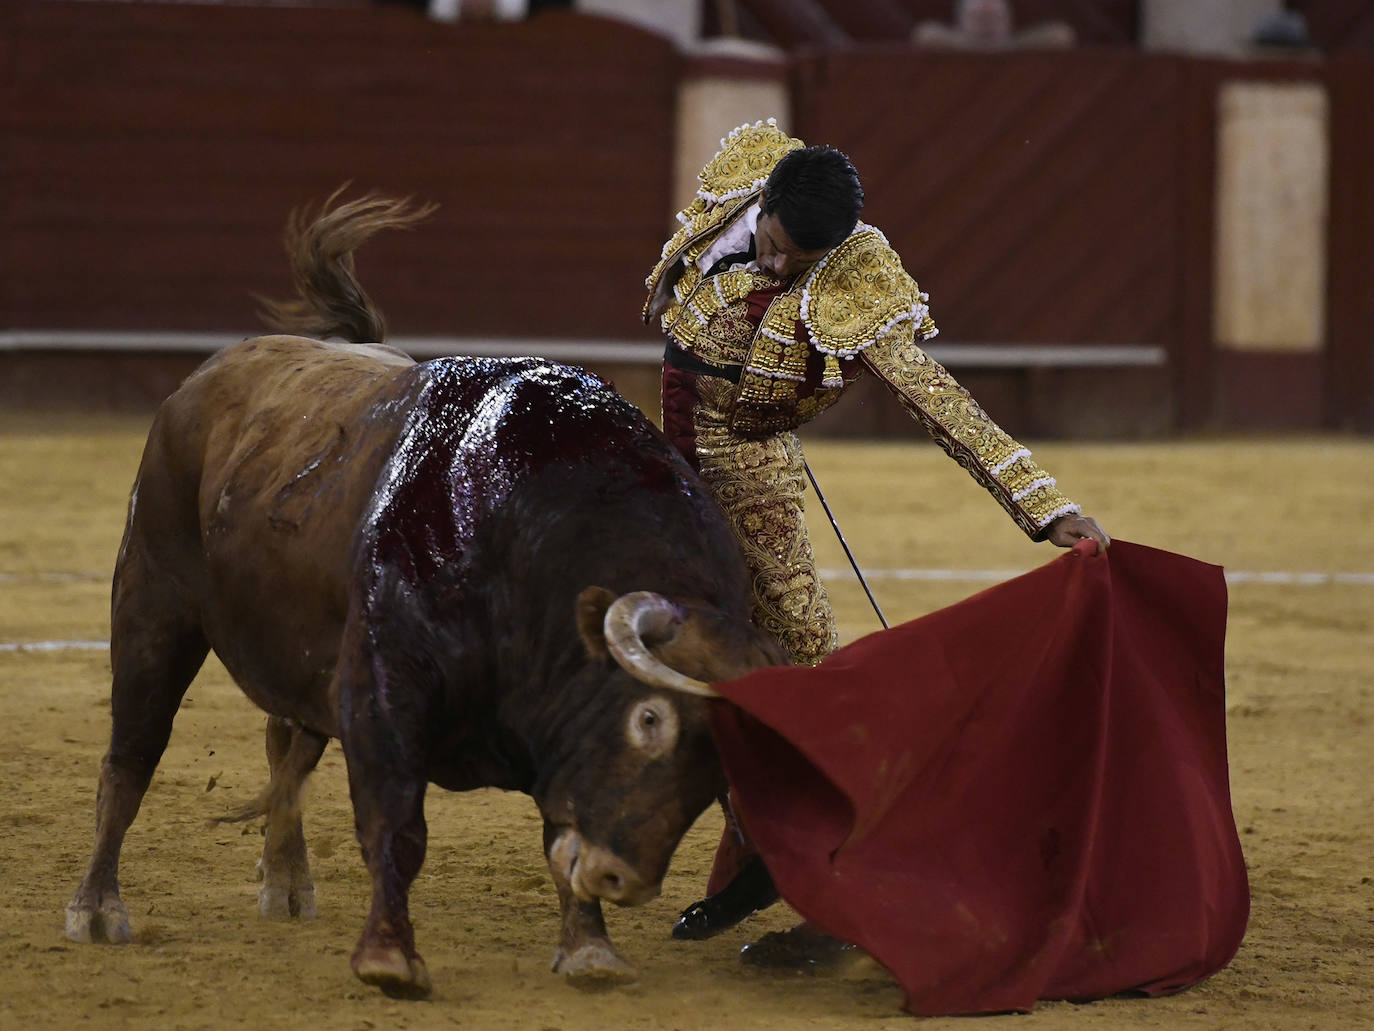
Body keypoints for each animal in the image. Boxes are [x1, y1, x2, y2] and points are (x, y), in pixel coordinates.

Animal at [66, 193, 785, 1000]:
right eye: (650, 719)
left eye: (720, 770)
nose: (621, 878)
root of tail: (208, 379)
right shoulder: (384, 688)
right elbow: (396, 822)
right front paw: (390, 959)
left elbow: (561, 825)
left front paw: (589, 947)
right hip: (152, 600)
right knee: (132, 754)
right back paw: (98, 907)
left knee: (288, 749)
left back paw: (286, 881)